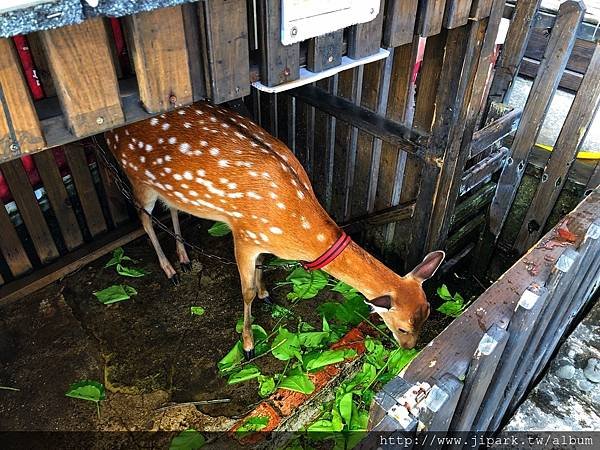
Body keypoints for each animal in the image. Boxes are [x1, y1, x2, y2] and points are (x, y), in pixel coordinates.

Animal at [105, 102, 446, 358]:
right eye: (402, 327)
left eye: (428, 311)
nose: (409, 349)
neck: (294, 228)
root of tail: (111, 131)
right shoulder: (244, 234)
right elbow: (245, 291)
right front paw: (248, 346)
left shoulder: (260, 239)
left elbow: (261, 267)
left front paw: (267, 294)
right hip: (135, 175)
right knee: (144, 218)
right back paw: (170, 270)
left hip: (167, 188)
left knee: (172, 207)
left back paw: (185, 258)